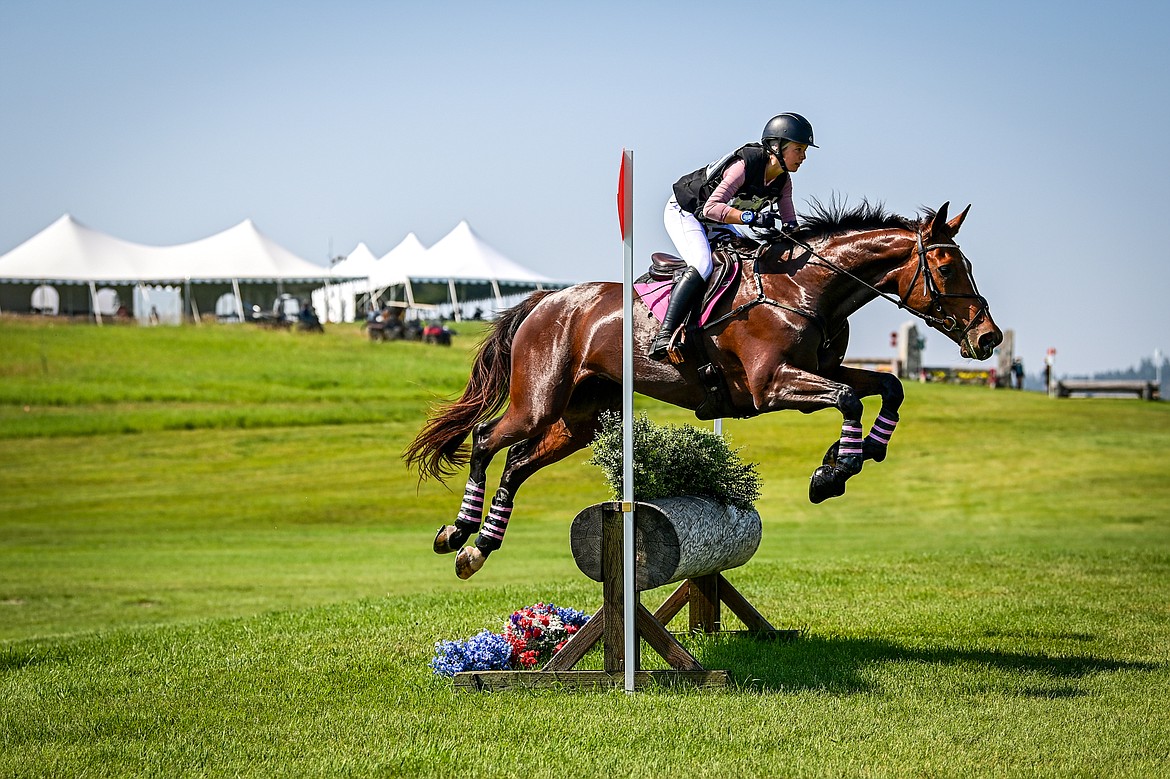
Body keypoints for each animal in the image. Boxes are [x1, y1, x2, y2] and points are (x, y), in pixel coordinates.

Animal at [407, 200, 1001, 575]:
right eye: (948, 268)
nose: (988, 337)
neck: (806, 289)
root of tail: (548, 300)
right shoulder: (770, 387)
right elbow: (849, 398)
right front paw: (832, 474)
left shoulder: (823, 370)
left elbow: (887, 385)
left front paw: (857, 453)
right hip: (538, 401)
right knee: (486, 440)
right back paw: (457, 532)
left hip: (580, 418)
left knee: (517, 463)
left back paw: (480, 547)